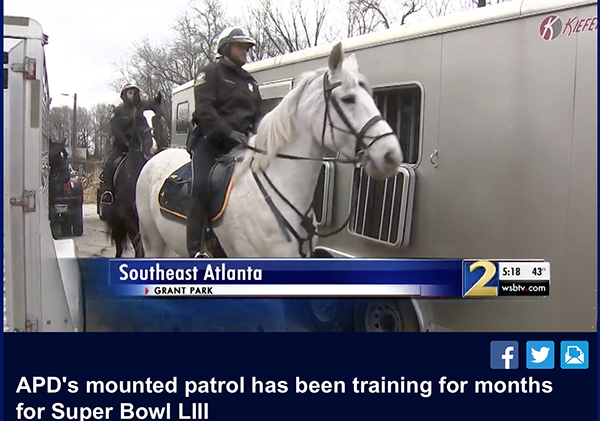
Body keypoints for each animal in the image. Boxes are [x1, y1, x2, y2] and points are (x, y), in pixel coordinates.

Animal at [104, 106, 168, 258]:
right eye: (138, 120)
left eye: (158, 118)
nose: (152, 148)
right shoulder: (130, 216)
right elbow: (138, 248)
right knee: (118, 238)